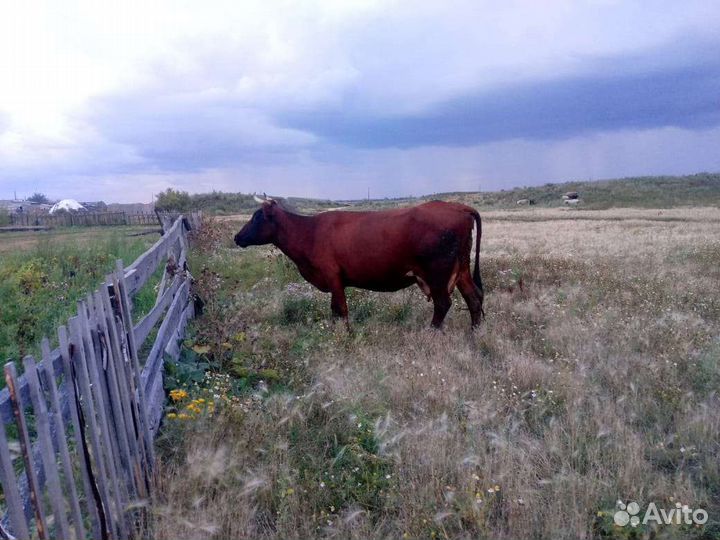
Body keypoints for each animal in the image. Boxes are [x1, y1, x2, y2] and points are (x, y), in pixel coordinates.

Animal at [234, 195, 485, 329]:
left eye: (257, 217)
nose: (237, 237)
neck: (309, 232)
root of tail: (459, 207)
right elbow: (336, 312)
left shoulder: (333, 277)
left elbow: (340, 310)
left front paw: (345, 338)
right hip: (461, 269)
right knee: (474, 299)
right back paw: (473, 337)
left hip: (438, 274)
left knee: (443, 304)